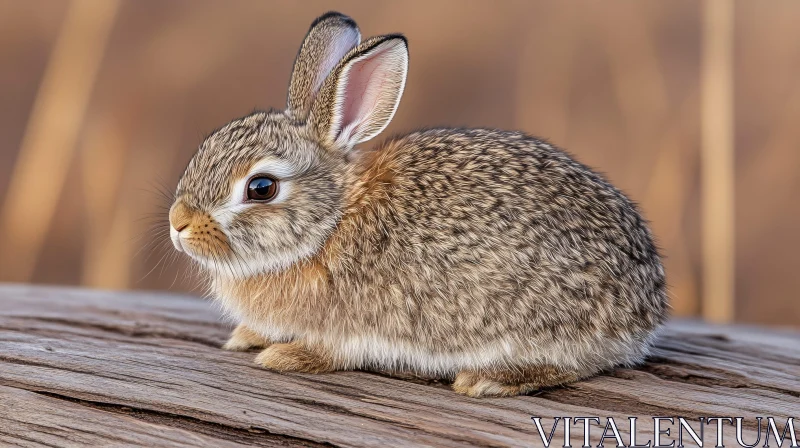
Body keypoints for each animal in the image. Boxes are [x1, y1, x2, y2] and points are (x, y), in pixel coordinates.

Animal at [169, 10, 668, 398]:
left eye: (261, 188)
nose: (179, 223)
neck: (330, 223)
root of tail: (646, 305)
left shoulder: (349, 327)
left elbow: (329, 350)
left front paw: (282, 355)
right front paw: (246, 337)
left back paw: (487, 380)